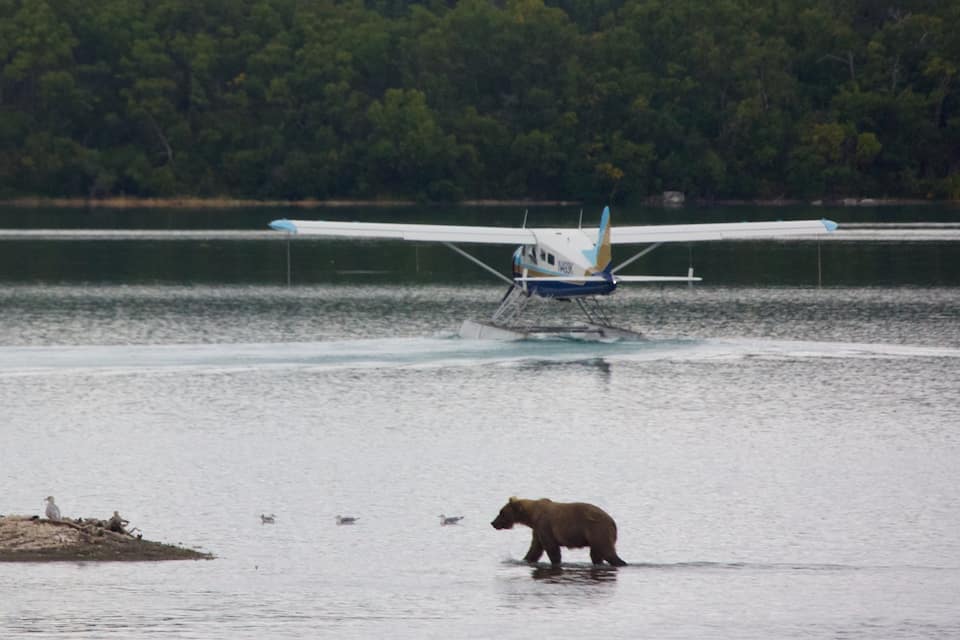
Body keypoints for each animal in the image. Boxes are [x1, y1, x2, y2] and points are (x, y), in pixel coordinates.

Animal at [490, 496, 627, 567]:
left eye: (501, 512)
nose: (493, 523)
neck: (532, 516)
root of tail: (613, 522)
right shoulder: (537, 529)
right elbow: (535, 549)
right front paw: (524, 559)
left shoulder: (544, 525)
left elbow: (551, 548)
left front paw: (556, 561)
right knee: (596, 554)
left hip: (597, 530)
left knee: (607, 551)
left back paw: (621, 562)